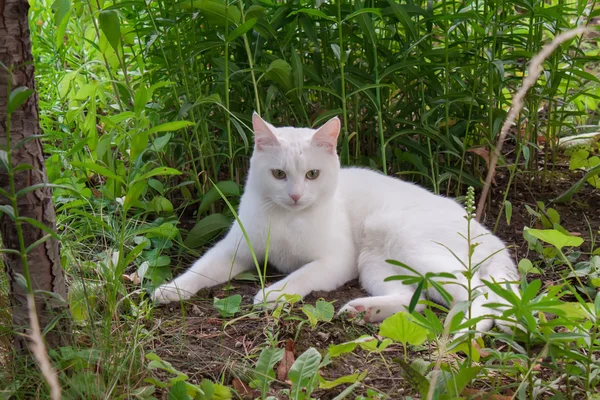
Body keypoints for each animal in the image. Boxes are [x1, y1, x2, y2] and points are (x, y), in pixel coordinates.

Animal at [152, 112, 516, 332]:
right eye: (278, 174)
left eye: (313, 174)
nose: (296, 195)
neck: (287, 218)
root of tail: (489, 236)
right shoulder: (234, 250)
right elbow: (200, 268)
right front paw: (171, 289)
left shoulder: (336, 261)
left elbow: (301, 274)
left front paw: (273, 293)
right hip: (377, 266)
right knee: (414, 299)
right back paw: (363, 311)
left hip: (408, 245)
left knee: (478, 293)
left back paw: (464, 329)